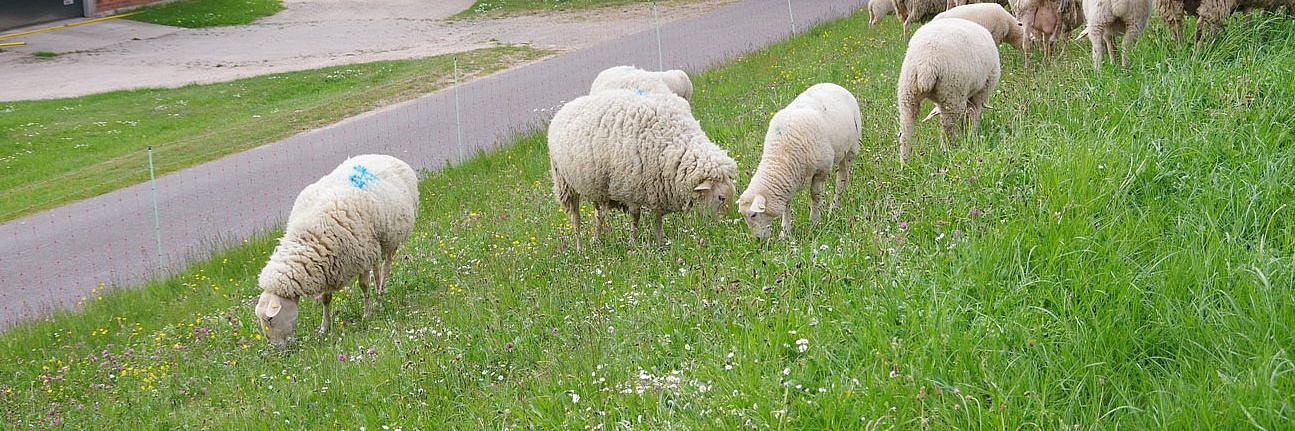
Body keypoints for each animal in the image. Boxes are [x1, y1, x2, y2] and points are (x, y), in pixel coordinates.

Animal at [249, 152, 416, 346]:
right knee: (377, 268)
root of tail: (386, 156)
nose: (279, 349)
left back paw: (381, 294)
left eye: (270, 320)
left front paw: (367, 313)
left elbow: (363, 286)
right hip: (377, 244)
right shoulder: (328, 267)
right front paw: (324, 327)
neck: (308, 237)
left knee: (386, 267)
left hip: (391, 240)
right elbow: (326, 299)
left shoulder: (362, 254)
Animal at [541, 88, 735, 248]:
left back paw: (597, 240)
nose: (727, 226)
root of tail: (565, 107)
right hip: (565, 184)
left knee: (598, 215)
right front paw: (633, 242)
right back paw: (580, 247)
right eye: (721, 198)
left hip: (596, 187)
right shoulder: (630, 188)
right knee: (576, 220)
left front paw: (661, 240)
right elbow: (635, 218)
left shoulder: (657, 185)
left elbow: (658, 217)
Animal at [740, 82, 859, 239]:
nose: (758, 240)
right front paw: (785, 232)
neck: (781, 155)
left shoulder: (821, 171)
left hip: (851, 149)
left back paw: (834, 208)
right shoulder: (787, 181)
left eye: (753, 215)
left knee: (841, 180)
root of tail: (833, 84)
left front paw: (815, 222)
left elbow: (815, 196)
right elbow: (786, 205)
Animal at [901, 17, 999, 163]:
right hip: (953, 93)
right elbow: (973, 116)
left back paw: (904, 162)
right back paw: (948, 151)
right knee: (948, 128)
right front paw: (970, 136)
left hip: (907, 92)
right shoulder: (980, 94)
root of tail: (927, 62)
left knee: (905, 130)